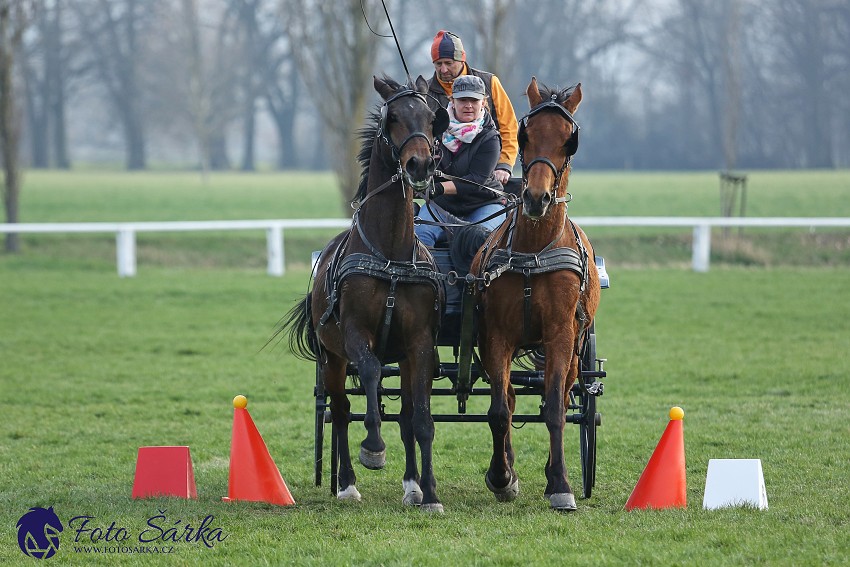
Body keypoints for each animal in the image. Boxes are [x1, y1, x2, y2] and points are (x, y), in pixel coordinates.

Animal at [282, 75, 448, 516]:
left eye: (432, 118)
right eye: (394, 117)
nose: (420, 164)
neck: (390, 253)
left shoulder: (419, 344)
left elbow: (421, 420)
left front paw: (429, 493)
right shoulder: (356, 334)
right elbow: (372, 372)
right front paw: (373, 446)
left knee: (405, 415)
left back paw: (412, 487)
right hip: (332, 358)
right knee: (340, 412)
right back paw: (347, 484)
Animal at [468, 79, 600, 510]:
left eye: (569, 141)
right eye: (525, 136)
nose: (536, 199)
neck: (534, 251)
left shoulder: (561, 334)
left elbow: (555, 408)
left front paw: (560, 484)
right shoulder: (496, 335)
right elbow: (498, 410)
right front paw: (501, 476)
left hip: (577, 345)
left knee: (563, 395)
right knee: (509, 400)